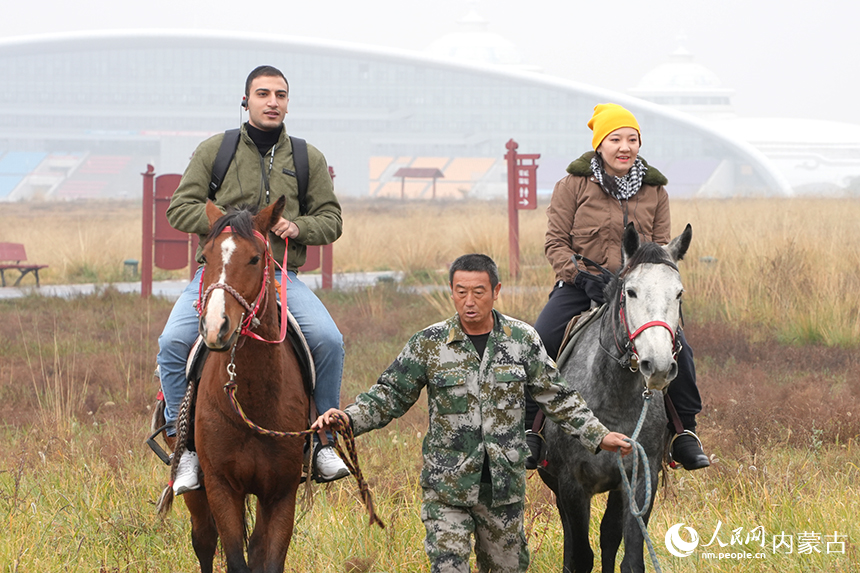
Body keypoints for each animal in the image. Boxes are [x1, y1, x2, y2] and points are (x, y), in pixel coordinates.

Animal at [158, 197, 310, 572]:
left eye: (256, 258)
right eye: (204, 258)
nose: (215, 327)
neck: (253, 402)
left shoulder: (281, 492)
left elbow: (268, 559)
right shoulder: (221, 486)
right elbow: (232, 557)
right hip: (197, 491)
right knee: (203, 540)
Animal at [540, 222, 696, 572]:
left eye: (678, 293)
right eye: (631, 292)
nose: (658, 365)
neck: (614, 398)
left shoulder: (640, 479)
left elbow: (630, 557)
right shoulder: (572, 484)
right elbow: (580, 556)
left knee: (609, 537)